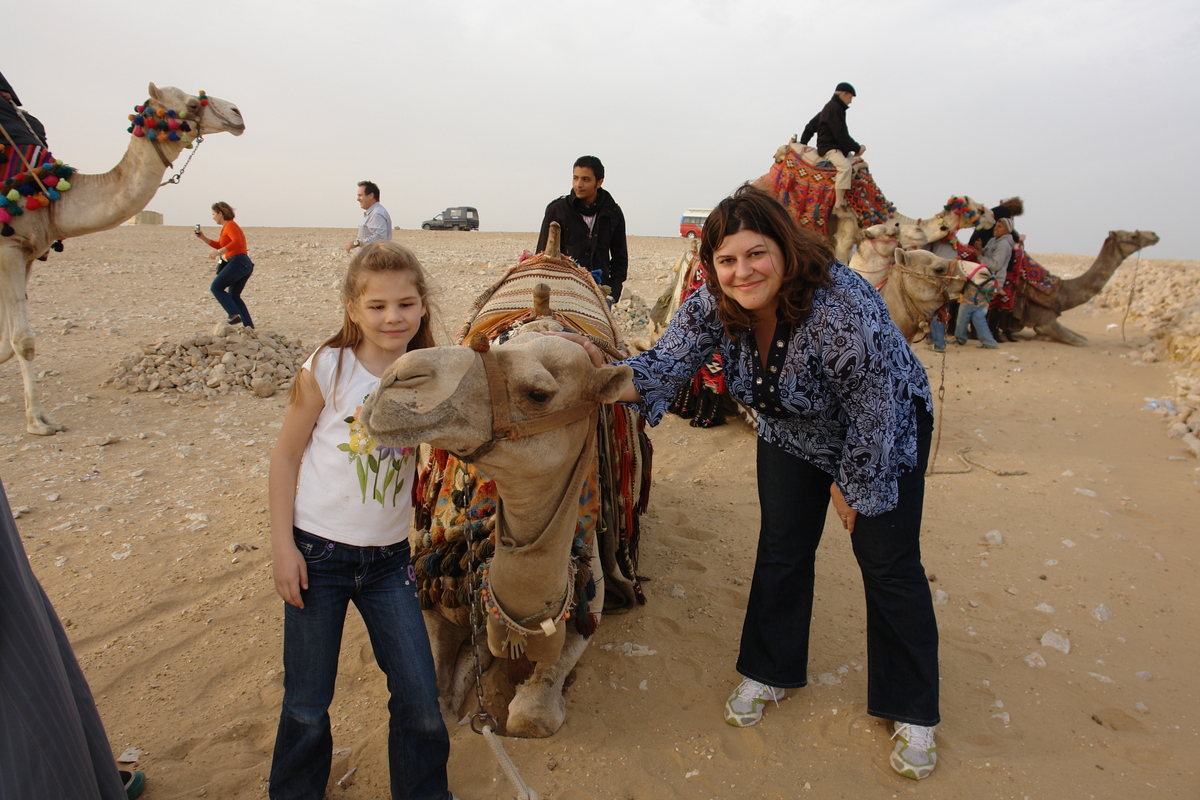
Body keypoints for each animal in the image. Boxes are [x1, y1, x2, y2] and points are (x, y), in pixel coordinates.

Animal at [0, 84, 246, 434]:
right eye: (192, 104)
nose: (237, 113)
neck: (51, 198)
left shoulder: (28, 252)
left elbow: (8, 339)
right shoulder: (10, 247)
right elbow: (21, 339)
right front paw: (38, 420)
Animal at [360, 225, 652, 738]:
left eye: (538, 393)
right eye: (492, 344)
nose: (396, 378)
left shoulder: (587, 603)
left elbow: (531, 715)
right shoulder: (434, 585)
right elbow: (439, 700)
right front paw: (466, 680)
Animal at [1008, 227, 1156, 347]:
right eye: (1133, 236)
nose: (1154, 235)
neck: (1063, 294)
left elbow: (1083, 338)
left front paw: (1041, 337)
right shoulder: (1046, 322)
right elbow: (1083, 342)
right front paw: (1042, 337)